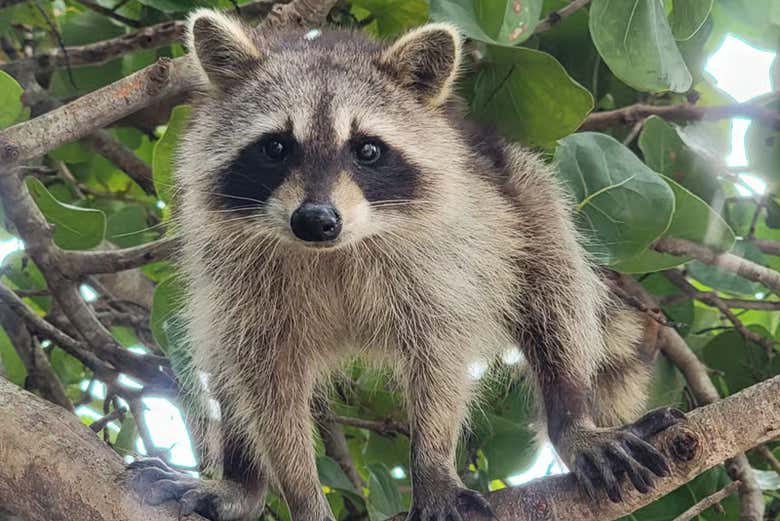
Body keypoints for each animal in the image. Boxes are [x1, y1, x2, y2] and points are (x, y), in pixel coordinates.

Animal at [128, 10, 684, 521]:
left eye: (368, 150)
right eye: (276, 147)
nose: (316, 220)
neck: (335, 251)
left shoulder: (442, 259)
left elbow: (440, 358)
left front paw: (433, 467)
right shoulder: (238, 276)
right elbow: (266, 384)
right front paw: (300, 493)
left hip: (523, 195)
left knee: (555, 293)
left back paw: (572, 418)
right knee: (224, 359)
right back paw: (243, 481)